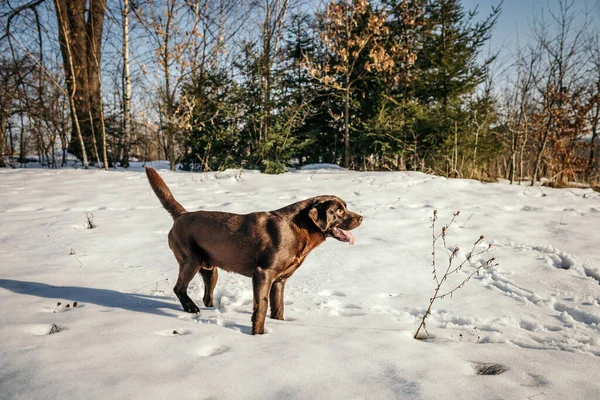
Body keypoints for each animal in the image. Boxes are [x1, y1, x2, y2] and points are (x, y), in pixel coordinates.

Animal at [145, 168, 360, 334]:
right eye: (339, 211)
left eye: (345, 208)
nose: (361, 218)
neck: (298, 229)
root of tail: (182, 215)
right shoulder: (263, 273)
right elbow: (261, 307)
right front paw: (258, 335)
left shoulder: (279, 281)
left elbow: (278, 308)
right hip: (190, 261)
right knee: (179, 288)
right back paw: (191, 308)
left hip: (210, 269)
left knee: (207, 295)